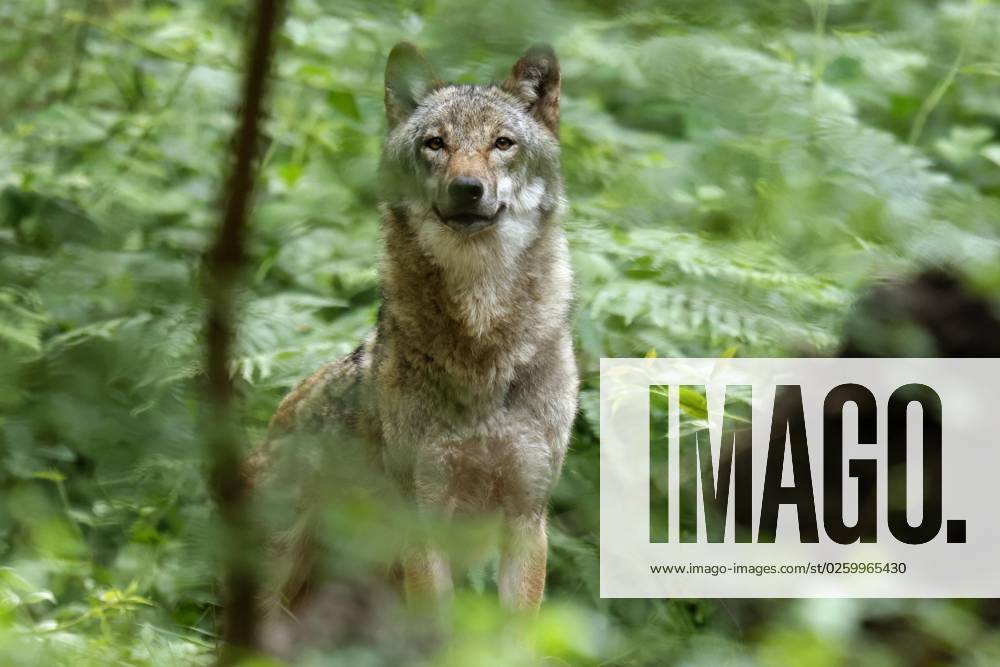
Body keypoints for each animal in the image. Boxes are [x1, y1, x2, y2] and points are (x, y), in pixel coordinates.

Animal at [251, 42, 577, 635]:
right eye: (435, 143)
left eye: (502, 143)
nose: (467, 188)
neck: (481, 341)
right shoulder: (424, 517)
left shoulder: (527, 518)